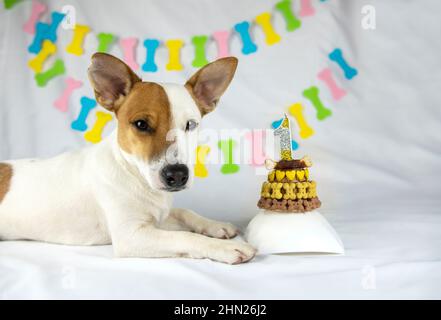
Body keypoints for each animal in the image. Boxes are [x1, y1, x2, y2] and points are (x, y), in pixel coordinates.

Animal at [0, 52, 254, 264]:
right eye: (141, 124)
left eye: (190, 125)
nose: (178, 175)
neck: (135, 175)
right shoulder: (131, 236)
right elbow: (184, 237)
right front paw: (225, 248)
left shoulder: (157, 218)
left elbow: (184, 212)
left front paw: (215, 226)